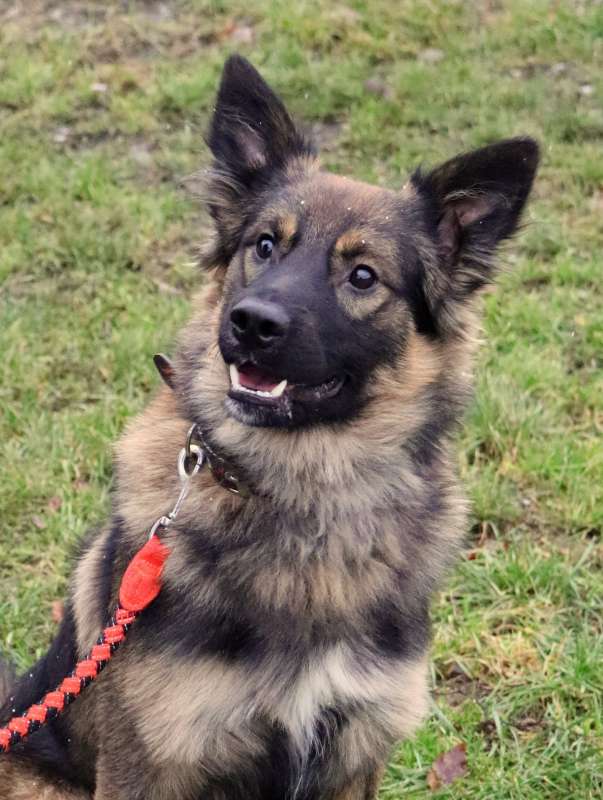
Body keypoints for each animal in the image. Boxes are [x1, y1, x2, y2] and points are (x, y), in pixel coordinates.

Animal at [0, 55, 538, 799]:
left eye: (362, 276)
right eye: (263, 245)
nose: (250, 323)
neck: (305, 497)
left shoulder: (352, 752)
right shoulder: (148, 758)